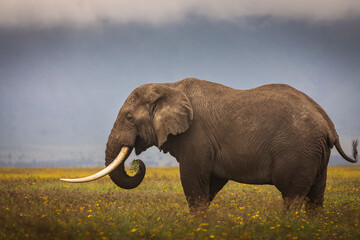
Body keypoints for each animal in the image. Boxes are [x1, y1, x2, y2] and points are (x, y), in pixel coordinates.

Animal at [62, 78, 358, 211]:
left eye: (129, 117)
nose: (136, 162)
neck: (168, 86)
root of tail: (328, 122)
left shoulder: (196, 138)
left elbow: (193, 181)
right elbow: (210, 184)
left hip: (298, 150)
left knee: (292, 197)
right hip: (316, 154)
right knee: (315, 198)